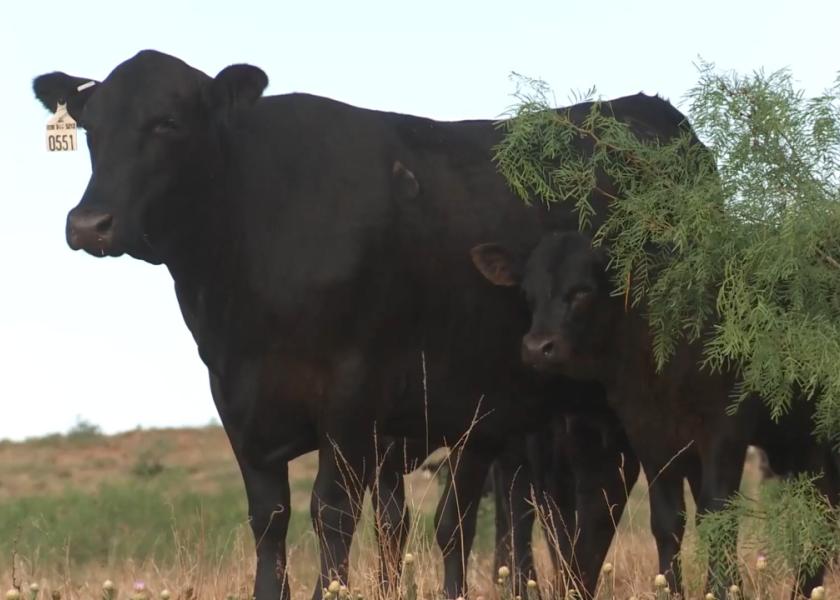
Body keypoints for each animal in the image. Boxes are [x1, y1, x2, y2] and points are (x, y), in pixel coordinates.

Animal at [33, 50, 696, 599]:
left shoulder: (353, 398)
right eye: (92, 130)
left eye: (167, 124)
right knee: (593, 511)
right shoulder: (239, 403)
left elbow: (333, 513)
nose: (89, 223)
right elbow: (270, 523)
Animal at [470, 230, 840, 597]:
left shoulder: (725, 430)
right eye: (527, 294)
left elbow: (717, 513)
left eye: (582, 291)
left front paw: (722, 589)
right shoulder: (648, 434)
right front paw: (672, 589)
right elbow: (667, 519)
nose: (538, 347)